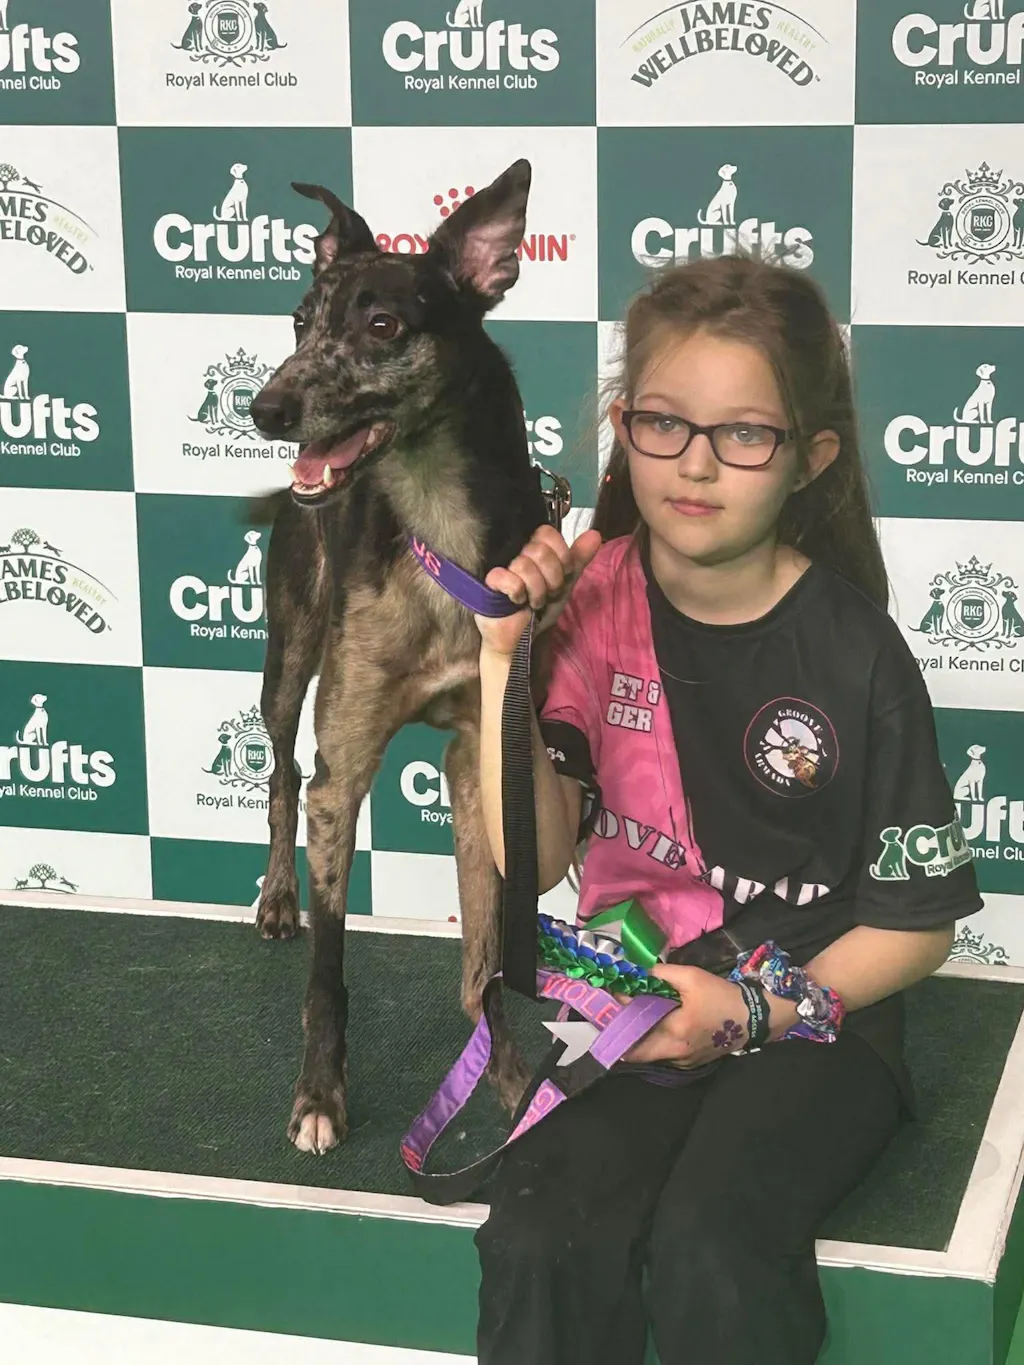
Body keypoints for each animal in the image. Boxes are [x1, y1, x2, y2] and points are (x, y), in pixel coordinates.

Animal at [248, 158, 552, 1154]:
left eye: (383, 326)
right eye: (299, 321)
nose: (264, 409)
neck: (438, 532)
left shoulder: (483, 758)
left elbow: (489, 957)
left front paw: (505, 1076)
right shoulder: (342, 773)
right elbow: (329, 971)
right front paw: (320, 1095)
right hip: (286, 659)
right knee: (278, 773)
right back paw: (276, 898)